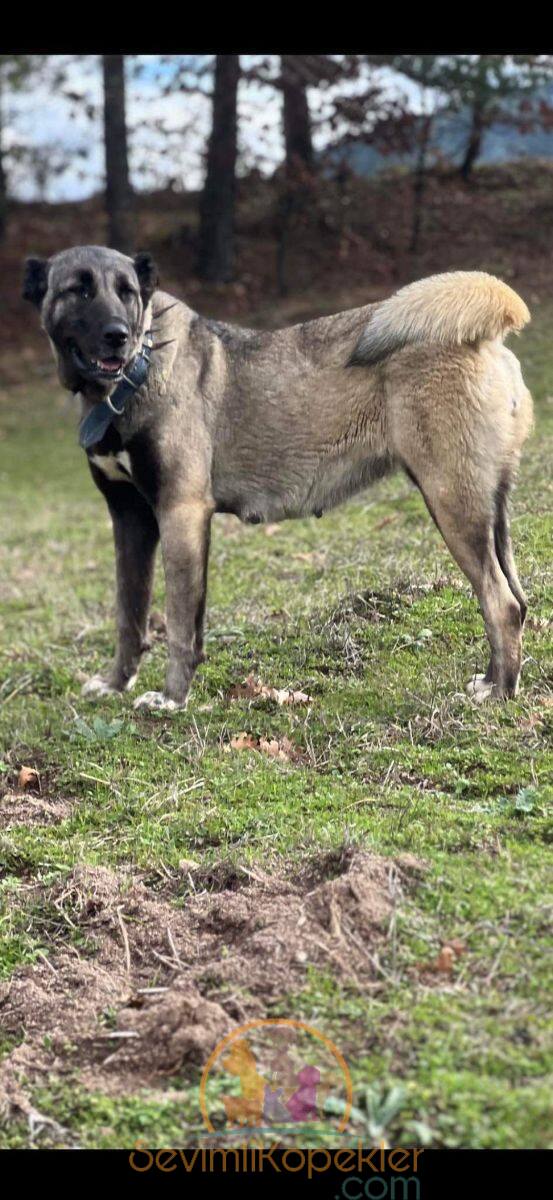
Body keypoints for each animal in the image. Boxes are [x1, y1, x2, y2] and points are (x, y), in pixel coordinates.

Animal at [22, 247, 535, 705]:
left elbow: (180, 624)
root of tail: (485, 337)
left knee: (501, 603)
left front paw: (171, 698)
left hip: (453, 505)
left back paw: (499, 694)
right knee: (515, 598)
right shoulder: (131, 522)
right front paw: (116, 684)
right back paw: (494, 681)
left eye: (127, 292)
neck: (140, 368)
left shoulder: (180, 515)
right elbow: (130, 617)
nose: (118, 335)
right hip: (489, 513)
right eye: (78, 289)